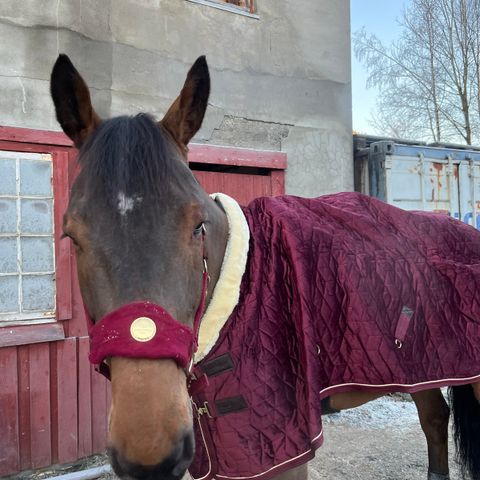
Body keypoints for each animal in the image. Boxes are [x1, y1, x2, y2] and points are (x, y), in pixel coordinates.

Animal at [49, 54, 480, 478]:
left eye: (197, 227)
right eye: (72, 235)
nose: (150, 453)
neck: (239, 293)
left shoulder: (286, 449)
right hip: (423, 364)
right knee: (434, 418)